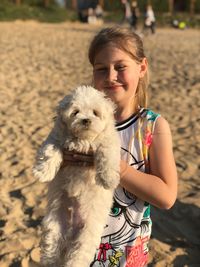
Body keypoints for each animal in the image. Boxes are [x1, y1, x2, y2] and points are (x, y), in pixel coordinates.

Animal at [32, 86, 120, 267]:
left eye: (95, 113)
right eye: (75, 112)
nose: (86, 120)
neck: (82, 140)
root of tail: (71, 233)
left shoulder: (109, 141)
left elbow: (106, 153)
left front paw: (108, 179)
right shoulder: (56, 138)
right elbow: (51, 150)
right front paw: (42, 172)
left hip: (87, 236)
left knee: (78, 256)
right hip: (53, 228)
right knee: (51, 251)